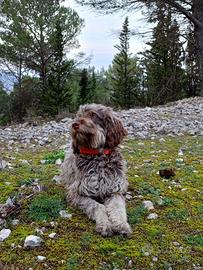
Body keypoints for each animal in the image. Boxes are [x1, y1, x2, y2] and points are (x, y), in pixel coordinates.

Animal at [58, 103, 132, 236]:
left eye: (93, 114)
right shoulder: (76, 193)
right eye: (78, 115)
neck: (98, 156)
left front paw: (121, 225)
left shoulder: (115, 190)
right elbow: (97, 206)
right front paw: (104, 224)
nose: (74, 124)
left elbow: (117, 207)